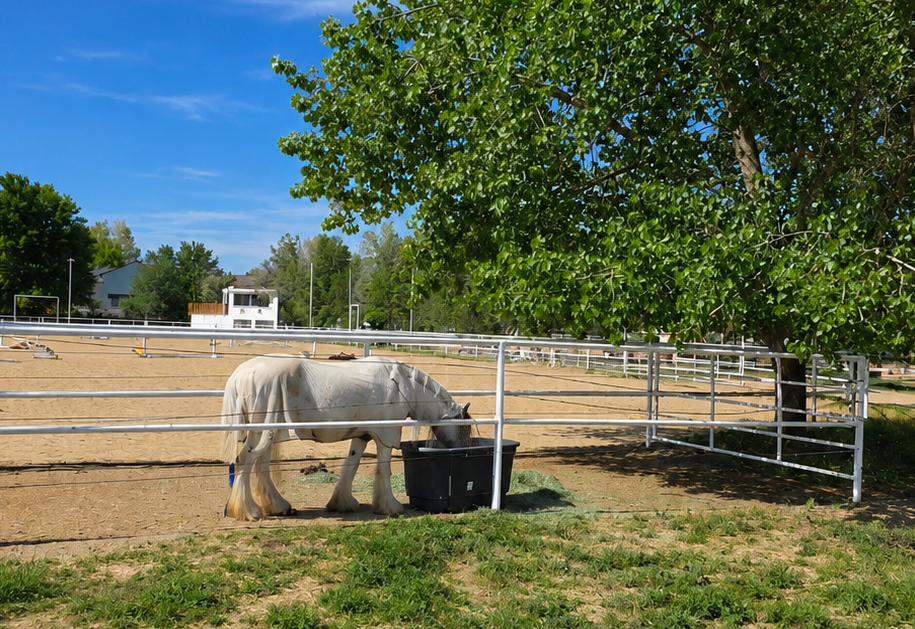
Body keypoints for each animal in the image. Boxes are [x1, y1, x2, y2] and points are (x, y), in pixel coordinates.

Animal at [219, 354, 472, 521]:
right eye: (464, 428)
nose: (463, 453)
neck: (402, 384)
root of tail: (240, 375)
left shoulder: (362, 437)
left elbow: (351, 466)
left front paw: (343, 503)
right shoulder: (385, 436)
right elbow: (383, 470)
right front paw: (390, 507)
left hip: (266, 434)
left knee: (259, 466)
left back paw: (277, 507)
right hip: (261, 433)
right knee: (245, 462)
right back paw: (247, 511)